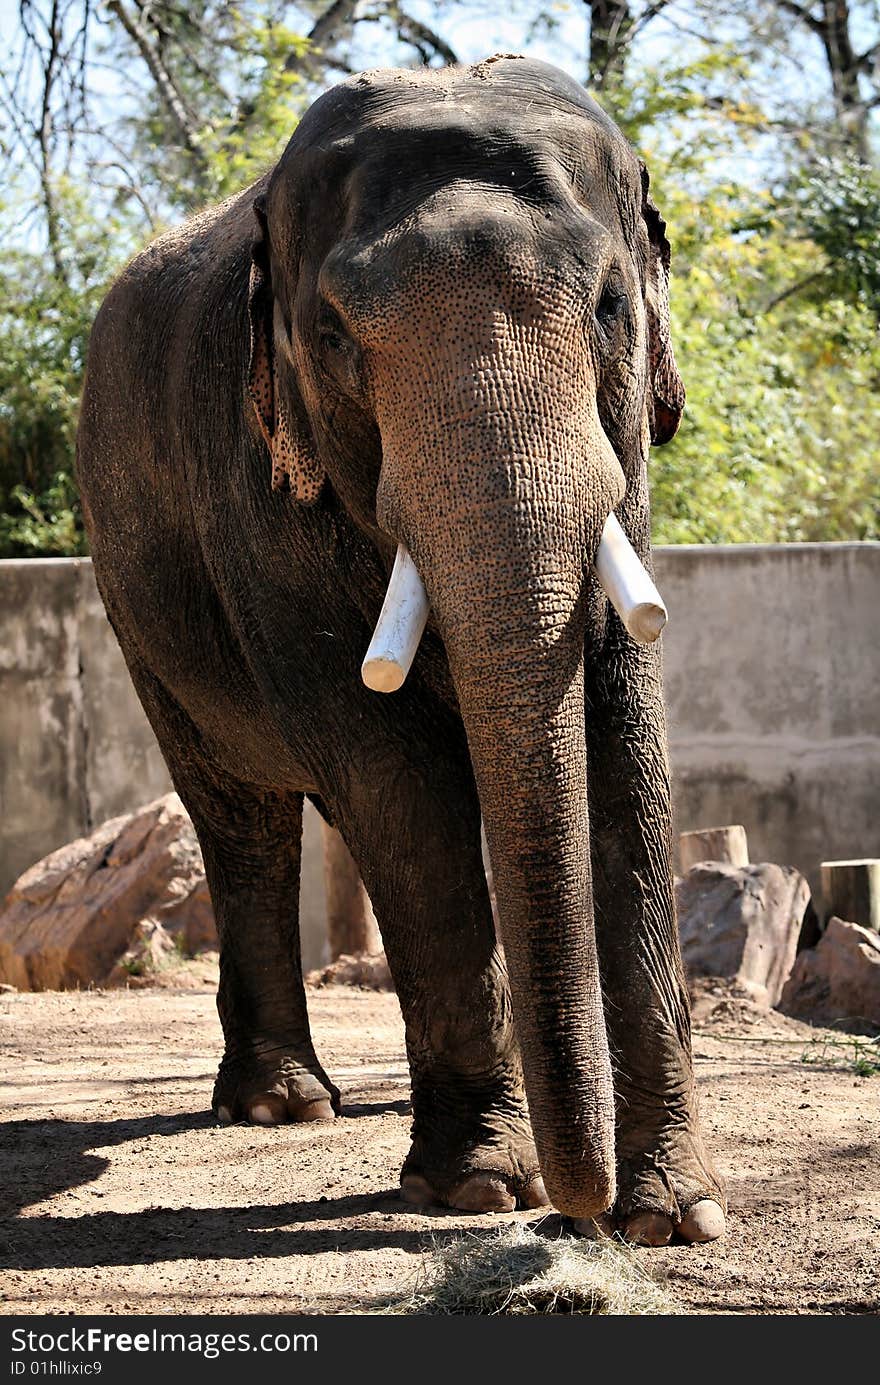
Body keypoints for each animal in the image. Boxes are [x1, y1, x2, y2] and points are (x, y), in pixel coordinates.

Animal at [74, 54, 720, 1246]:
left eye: (609, 306)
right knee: (243, 817)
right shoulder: (261, 494)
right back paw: (282, 1105)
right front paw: (483, 1189)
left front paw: (677, 1214)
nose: (581, 1217)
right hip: (134, 607)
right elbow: (394, 778)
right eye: (333, 338)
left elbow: (628, 749)